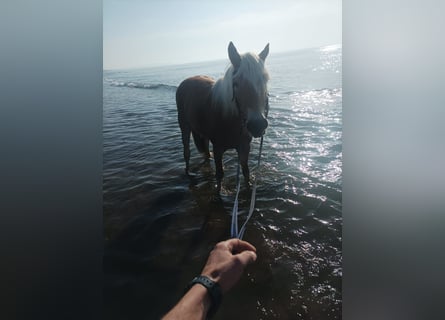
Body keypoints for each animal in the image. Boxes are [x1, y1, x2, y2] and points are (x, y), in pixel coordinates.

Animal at [175, 41, 268, 189]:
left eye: (265, 80)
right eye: (236, 83)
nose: (257, 125)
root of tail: (186, 81)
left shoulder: (244, 148)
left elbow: (246, 172)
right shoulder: (218, 149)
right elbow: (219, 175)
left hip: (203, 134)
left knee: (206, 153)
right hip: (184, 126)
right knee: (187, 153)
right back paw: (188, 173)